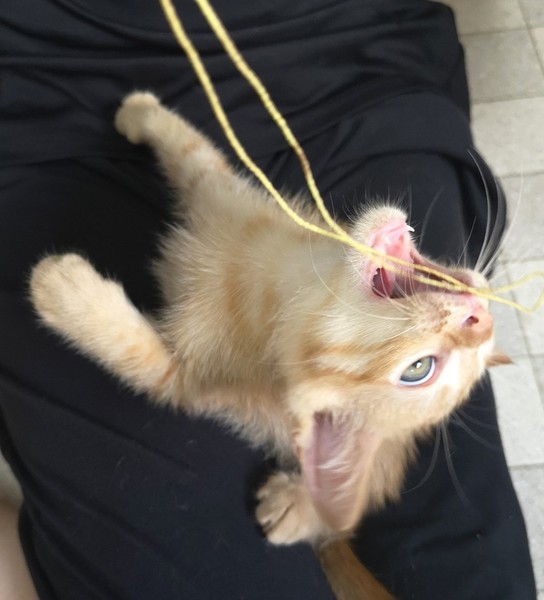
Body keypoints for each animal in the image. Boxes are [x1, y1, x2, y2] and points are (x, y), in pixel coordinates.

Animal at [29, 92, 509, 600]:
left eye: (418, 370)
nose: (481, 321)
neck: (285, 283)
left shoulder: (189, 379)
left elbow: (133, 350)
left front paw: (63, 291)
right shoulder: (223, 192)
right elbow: (192, 149)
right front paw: (141, 115)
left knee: (350, 512)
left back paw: (297, 507)